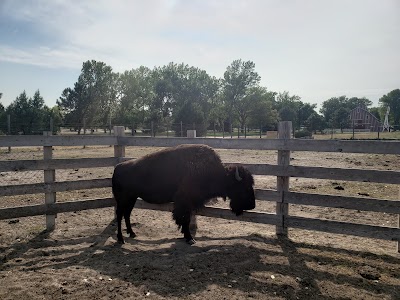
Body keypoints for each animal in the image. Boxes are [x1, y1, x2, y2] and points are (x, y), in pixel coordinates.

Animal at [112, 144, 256, 245]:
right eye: (245, 186)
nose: (252, 205)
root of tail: (117, 168)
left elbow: (185, 219)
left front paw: (186, 236)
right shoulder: (184, 202)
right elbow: (184, 219)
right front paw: (189, 238)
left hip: (132, 198)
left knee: (127, 214)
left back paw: (132, 234)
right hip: (123, 199)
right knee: (119, 215)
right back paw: (121, 239)